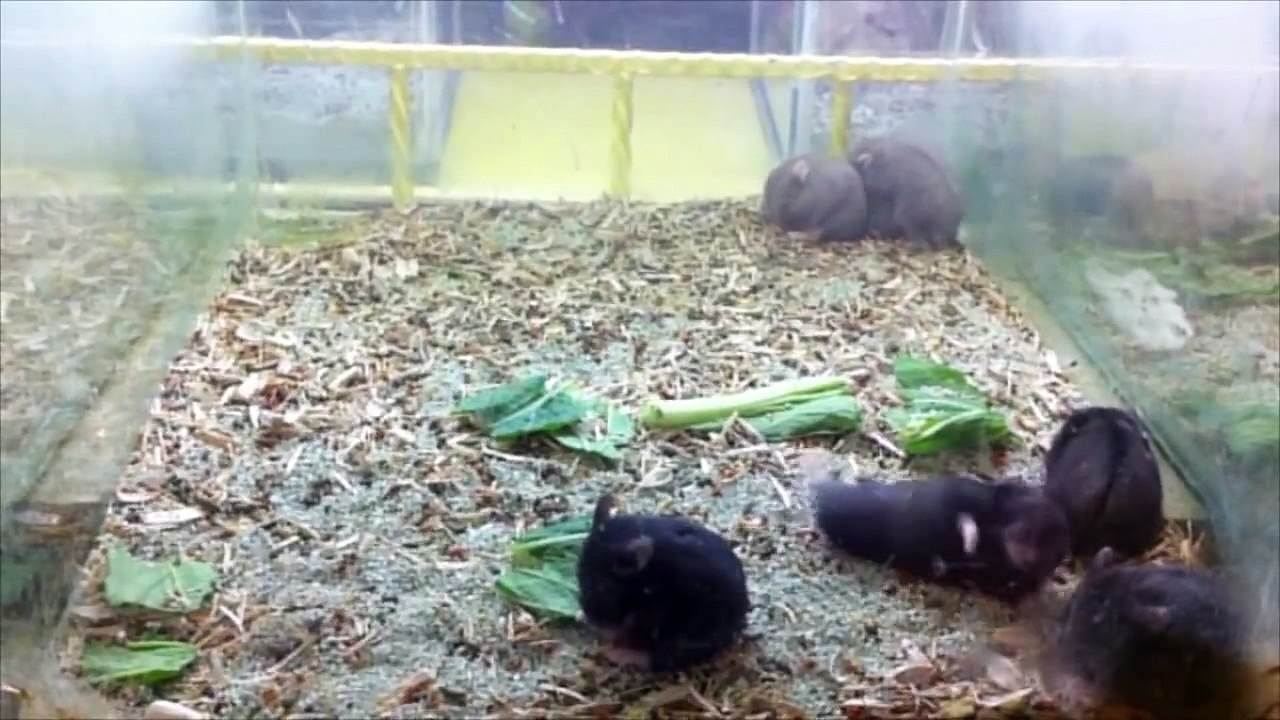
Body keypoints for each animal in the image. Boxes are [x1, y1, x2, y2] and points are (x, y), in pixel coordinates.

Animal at [807, 471, 1069, 604]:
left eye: (1054, 547)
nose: (1025, 555)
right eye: (1025, 498)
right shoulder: (960, 496)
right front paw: (969, 541)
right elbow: (964, 516)